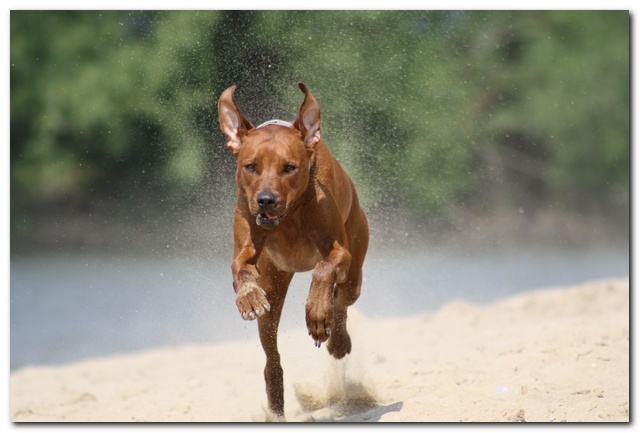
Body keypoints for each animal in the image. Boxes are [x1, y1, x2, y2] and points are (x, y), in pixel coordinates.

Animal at [218, 82, 370, 416]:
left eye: (289, 168)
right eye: (250, 166)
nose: (266, 200)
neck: (289, 215)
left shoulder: (339, 250)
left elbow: (325, 268)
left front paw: (317, 313)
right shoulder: (248, 239)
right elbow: (239, 266)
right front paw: (248, 297)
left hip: (355, 269)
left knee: (342, 299)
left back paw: (336, 338)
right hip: (274, 285)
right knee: (271, 353)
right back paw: (275, 399)